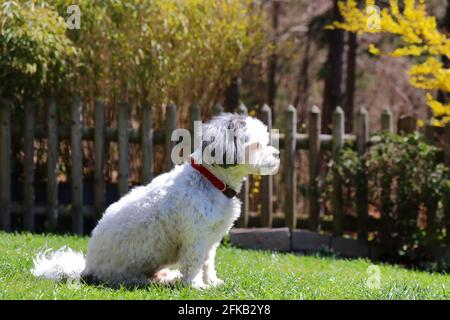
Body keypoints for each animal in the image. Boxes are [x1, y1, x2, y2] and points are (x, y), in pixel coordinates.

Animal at [31, 114, 280, 288]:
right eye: (257, 145)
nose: (277, 155)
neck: (211, 181)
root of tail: (86, 269)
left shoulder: (211, 240)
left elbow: (208, 264)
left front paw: (212, 282)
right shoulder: (195, 238)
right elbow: (194, 263)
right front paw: (197, 286)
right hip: (124, 276)